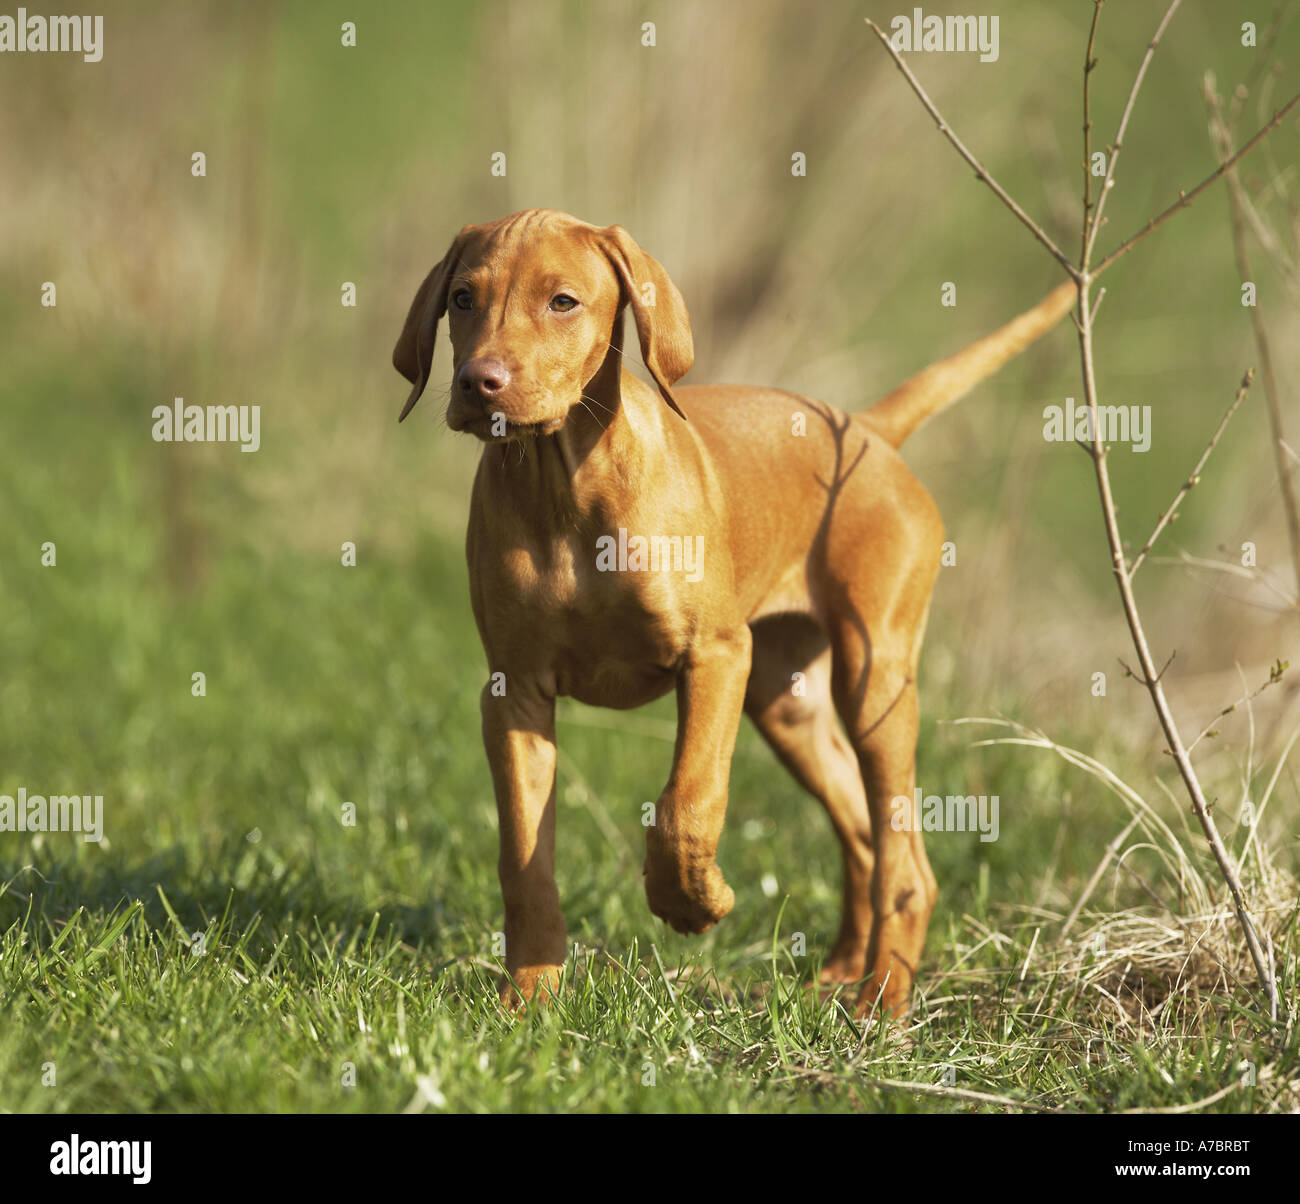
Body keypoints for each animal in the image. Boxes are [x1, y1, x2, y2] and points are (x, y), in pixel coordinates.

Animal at [395, 209, 1076, 1019]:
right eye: (462, 299)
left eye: (563, 302)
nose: (479, 382)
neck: (564, 487)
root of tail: (864, 428)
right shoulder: (513, 692)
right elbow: (524, 857)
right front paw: (531, 997)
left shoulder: (715, 655)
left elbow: (688, 799)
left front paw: (691, 901)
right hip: (788, 702)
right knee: (864, 834)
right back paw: (842, 972)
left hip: (873, 680)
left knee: (905, 861)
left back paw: (882, 999)